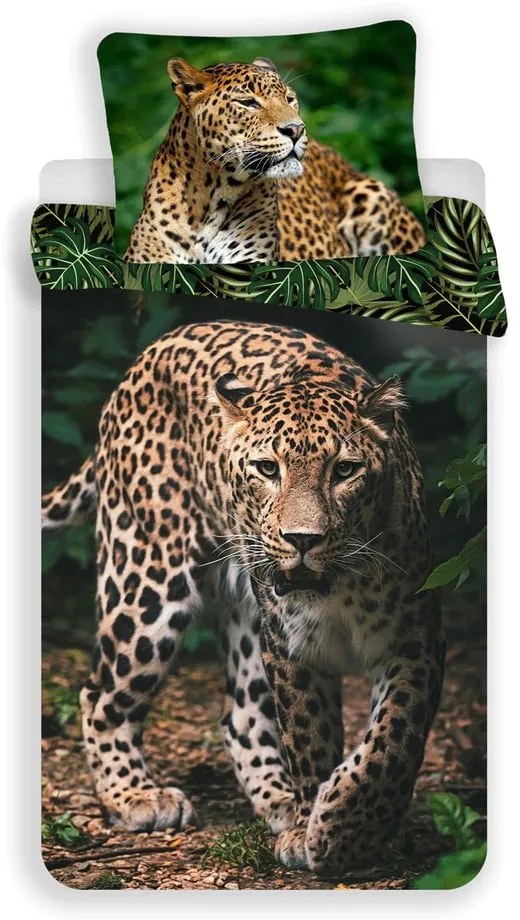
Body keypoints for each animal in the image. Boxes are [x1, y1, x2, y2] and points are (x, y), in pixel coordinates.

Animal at [42, 320, 444, 875]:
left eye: (344, 470)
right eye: (267, 469)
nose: (302, 540)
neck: (338, 586)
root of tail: (146, 356)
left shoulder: (414, 641)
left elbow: (392, 741)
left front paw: (345, 826)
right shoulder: (292, 649)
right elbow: (310, 737)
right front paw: (320, 828)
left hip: (246, 615)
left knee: (241, 716)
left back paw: (279, 802)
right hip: (147, 579)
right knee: (100, 693)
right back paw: (136, 796)